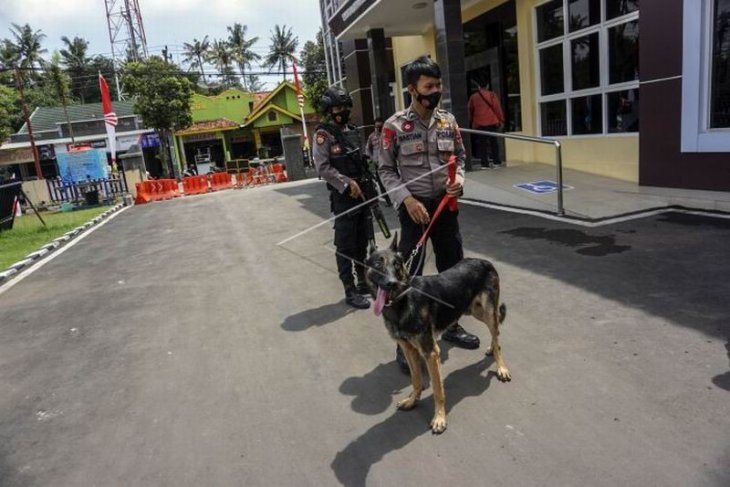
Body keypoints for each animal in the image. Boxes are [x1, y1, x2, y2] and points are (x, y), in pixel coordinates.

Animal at [362, 234, 510, 434]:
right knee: (496, 332)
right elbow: (416, 380)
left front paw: (439, 418)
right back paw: (491, 349)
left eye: (397, 265)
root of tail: (485, 261)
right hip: (474, 310)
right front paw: (412, 401)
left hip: (487, 312)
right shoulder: (409, 350)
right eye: (378, 264)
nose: (392, 283)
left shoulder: (431, 352)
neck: (403, 300)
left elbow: (438, 390)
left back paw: (501, 366)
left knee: (497, 335)